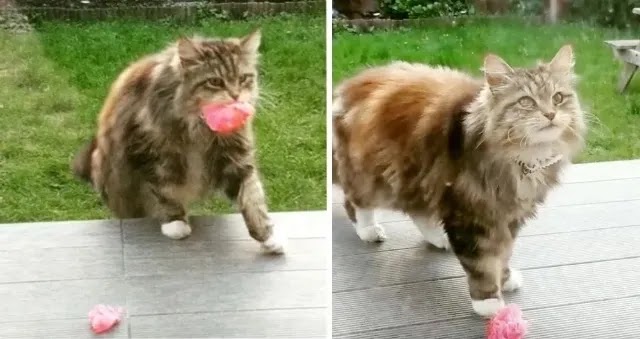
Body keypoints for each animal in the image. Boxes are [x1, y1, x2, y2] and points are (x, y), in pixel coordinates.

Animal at [71, 30, 286, 255]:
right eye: (215, 81)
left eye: (243, 78)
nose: (235, 96)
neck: (199, 127)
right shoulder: (152, 154)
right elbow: (165, 192)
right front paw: (175, 223)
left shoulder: (236, 157)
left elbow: (253, 198)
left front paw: (268, 237)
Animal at [332, 44, 588, 316]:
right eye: (526, 101)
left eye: (558, 98)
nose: (550, 114)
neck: (523, 156)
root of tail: (350, 86)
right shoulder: (469, 213)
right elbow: (482, 263)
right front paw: (488, 301)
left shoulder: (508, 215)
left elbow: (503, 253)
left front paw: (505, 279)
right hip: (380, 179)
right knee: (355, 201)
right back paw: (369, 230)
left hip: (418, 178)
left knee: (418, 212)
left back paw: (438, 238)